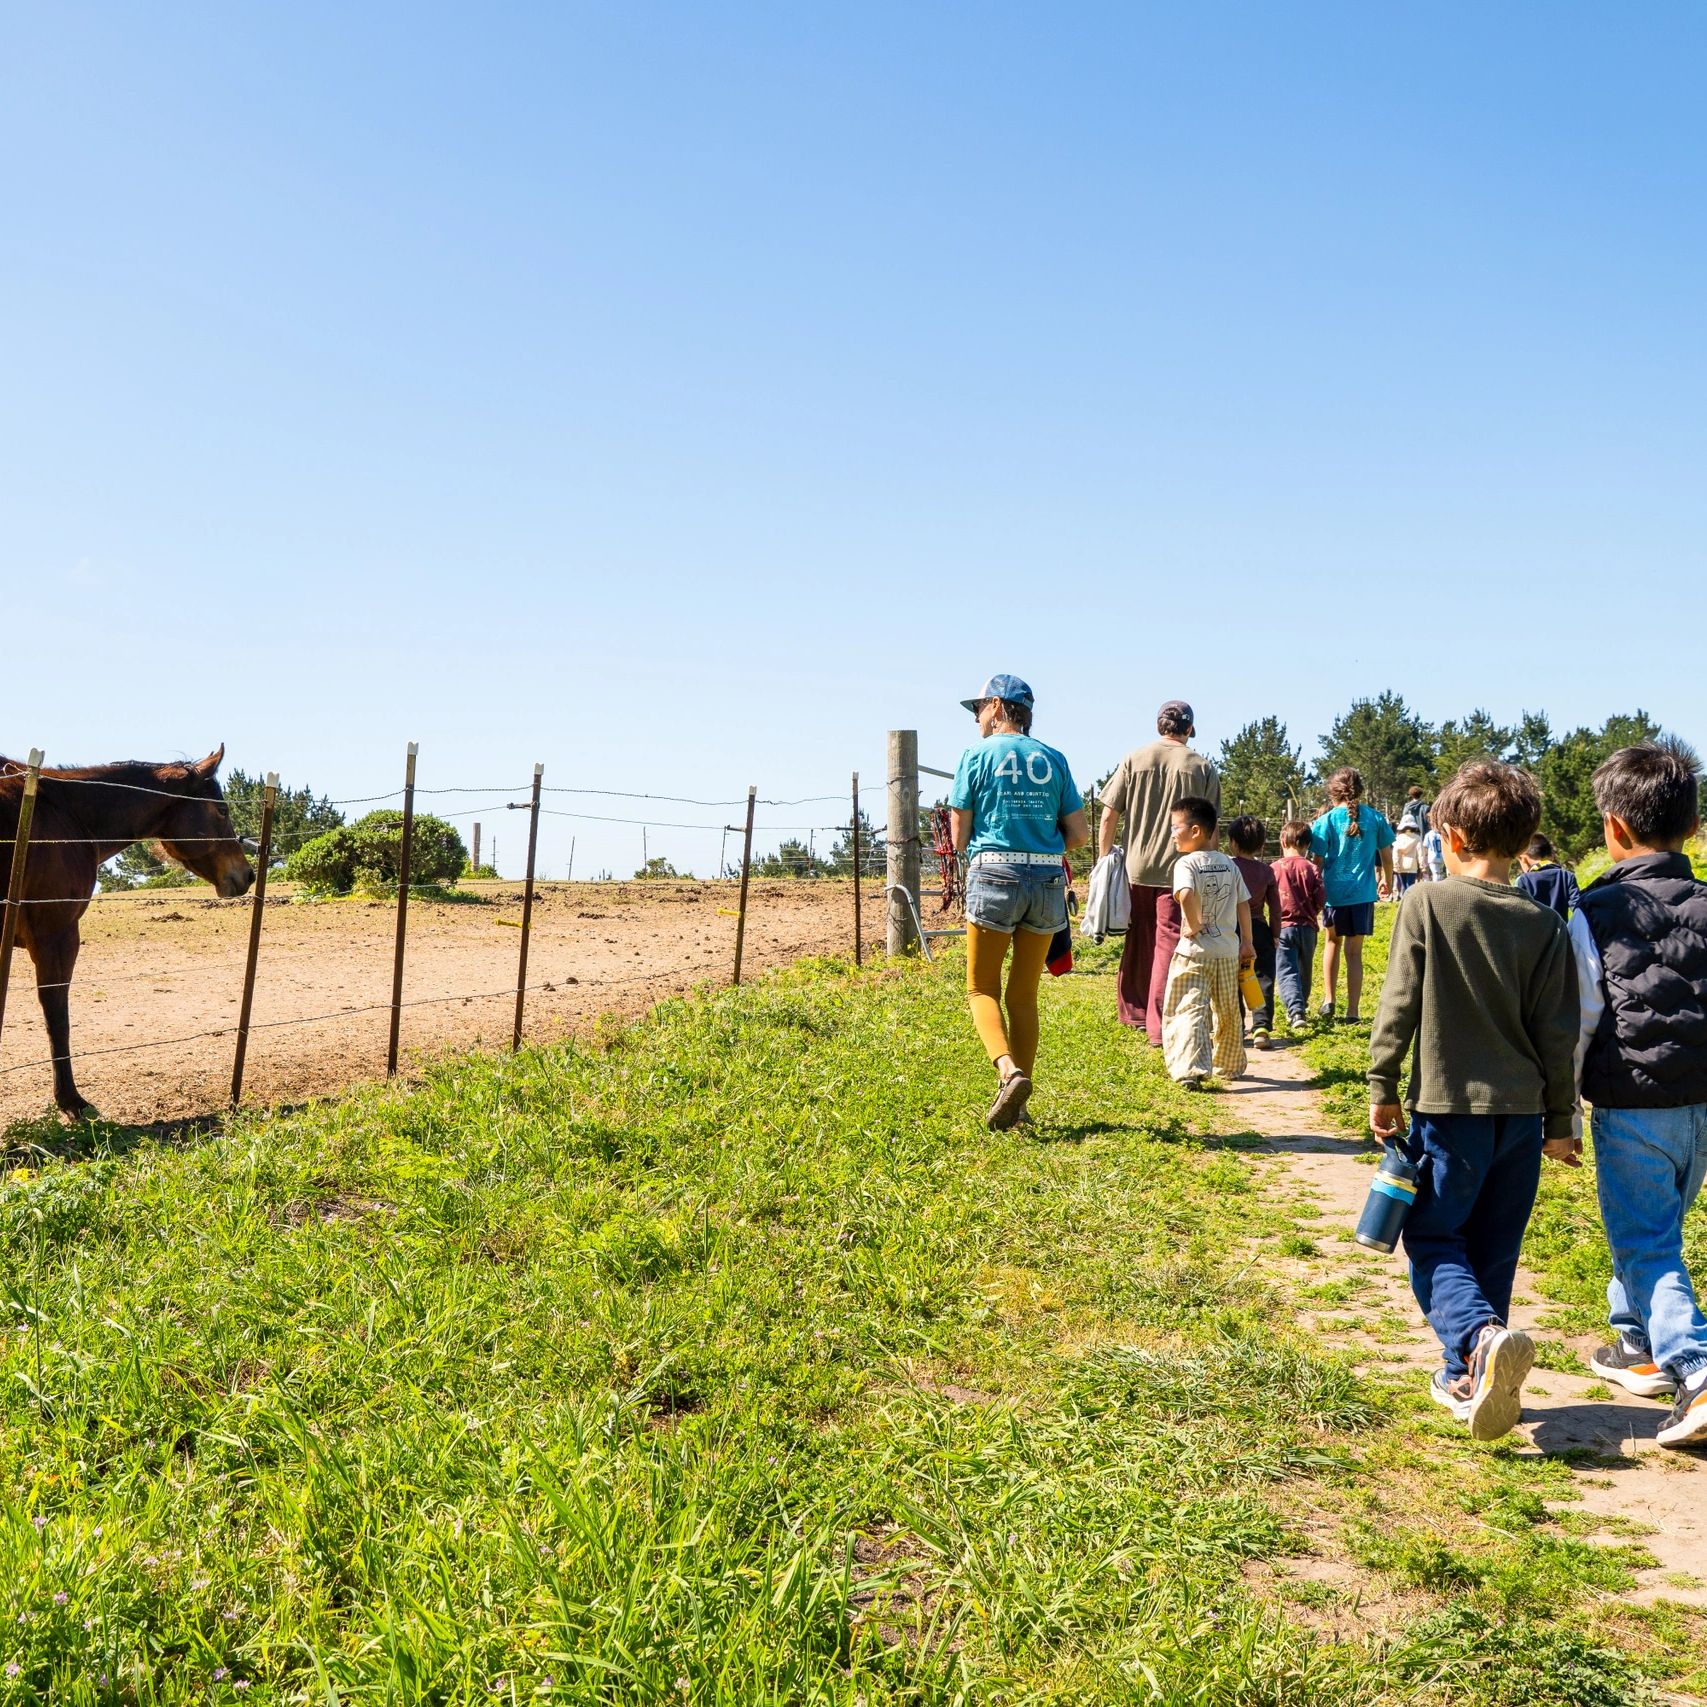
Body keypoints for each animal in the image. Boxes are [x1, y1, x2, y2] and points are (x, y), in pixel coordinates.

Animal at [0, 747, 254, 1118]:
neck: (65, 812)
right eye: (222, 810)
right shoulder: (56, 936)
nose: (248, 875)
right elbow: (56, 1016)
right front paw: (71, 1100)